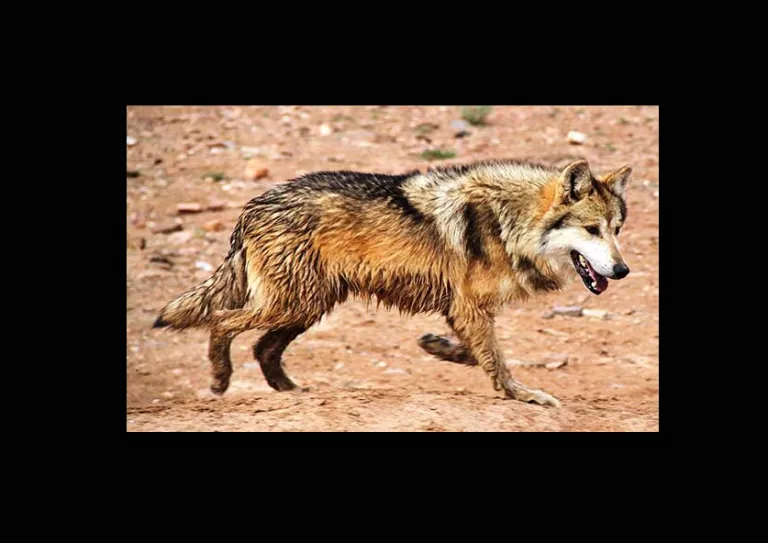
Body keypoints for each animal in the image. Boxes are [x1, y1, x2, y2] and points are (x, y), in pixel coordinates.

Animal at [153, 159, 631, 407]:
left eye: (616, 230)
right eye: (591, 230)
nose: (622, 271)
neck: (509, 222)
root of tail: (252, 207)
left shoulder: (462, 310)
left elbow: (478, 354)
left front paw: (437, 347)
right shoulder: (468, 308)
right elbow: (496, 361)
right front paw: (522, 395)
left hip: (308, 306)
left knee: (262, 347)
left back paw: (294, 393)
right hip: (293, 304)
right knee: (222, 320)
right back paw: (220, 381)